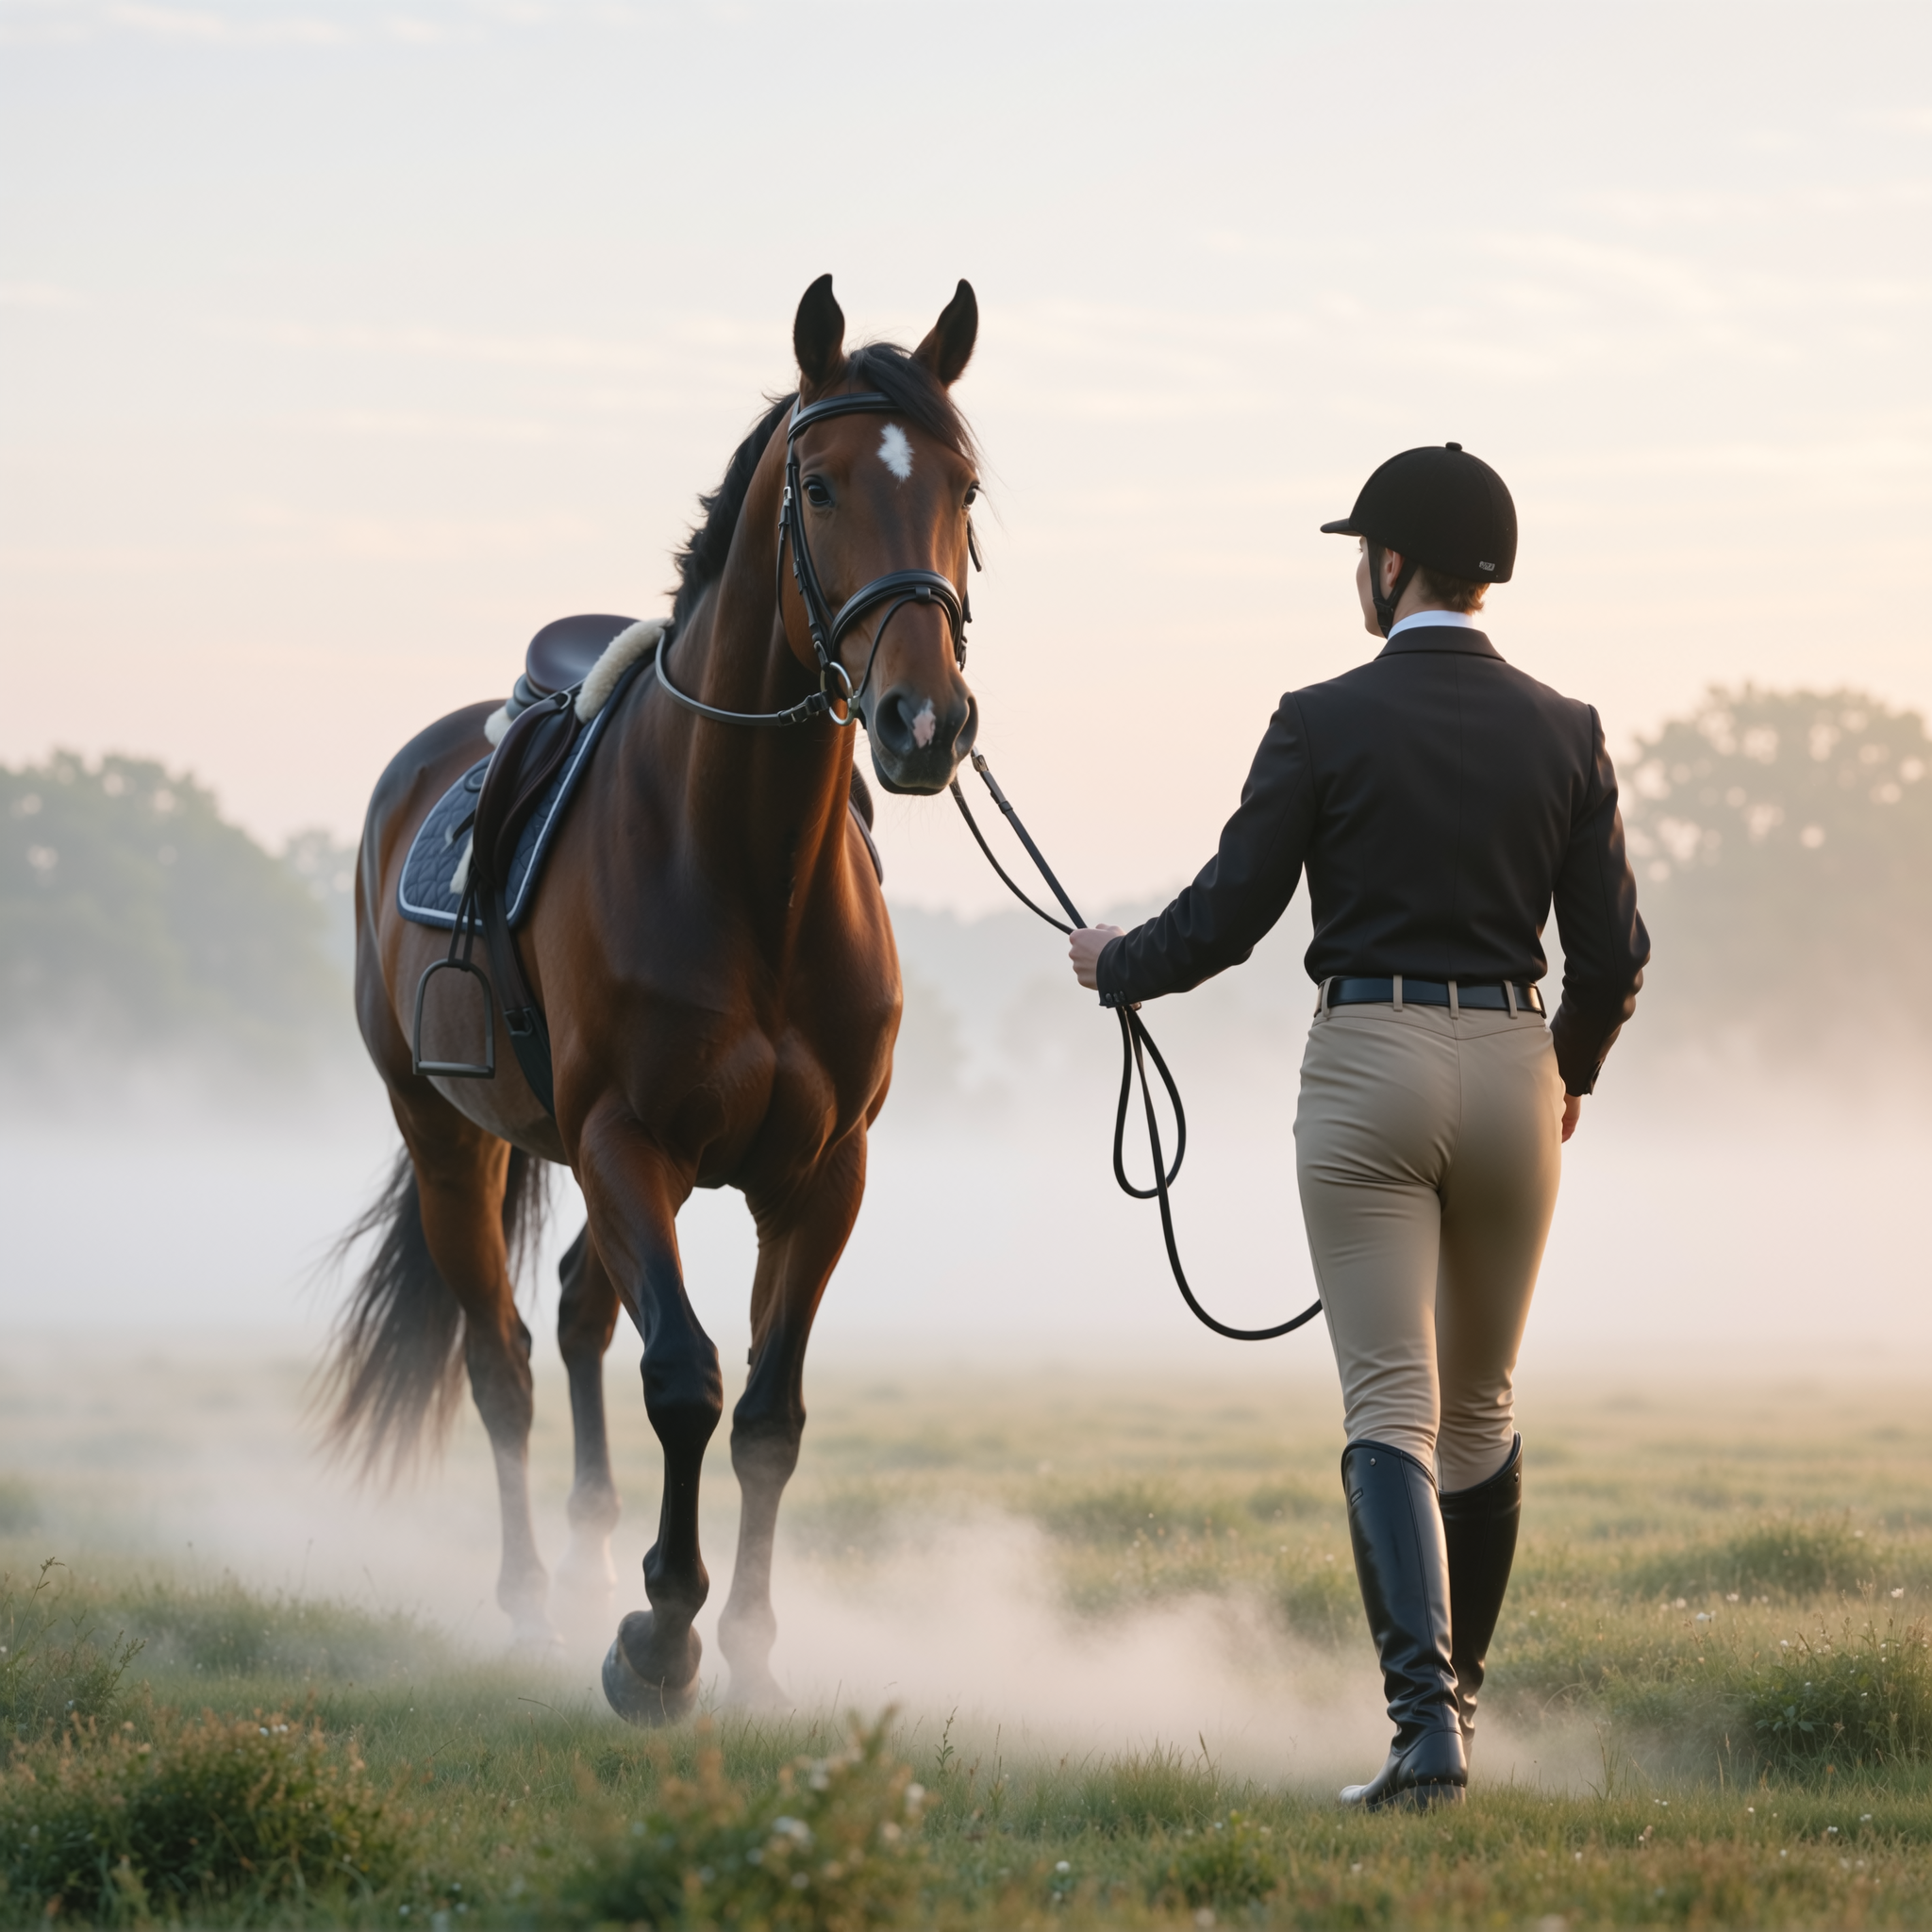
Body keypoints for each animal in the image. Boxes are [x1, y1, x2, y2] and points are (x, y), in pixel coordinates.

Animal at [325, 274, 982, 1720]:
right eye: (820, 486)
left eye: (964, 486)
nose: (925, 723)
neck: (745, 870)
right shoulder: (631, 1141)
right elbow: (683, 1379)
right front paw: (659, 1639)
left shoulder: (821, 1175)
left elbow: (771, 1414)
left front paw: (751, 1648)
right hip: (450, 1139)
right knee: (505, 1359)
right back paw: (530, 1601)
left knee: (575, 1312)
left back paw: (578, 1565)